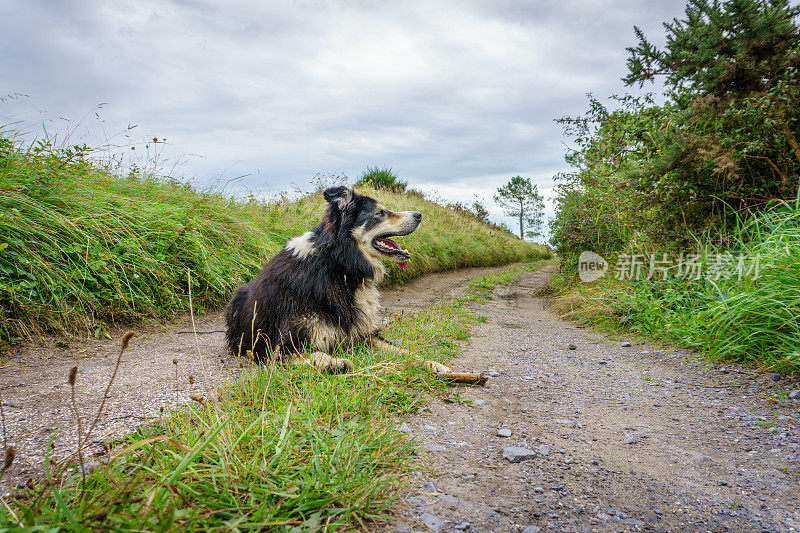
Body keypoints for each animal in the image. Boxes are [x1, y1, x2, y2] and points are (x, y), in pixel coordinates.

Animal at [225, 187, 450, 374]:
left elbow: (403, 351)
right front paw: (333, 362)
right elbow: (311, 355)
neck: (339, 265)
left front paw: (434, 364)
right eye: (379, 213)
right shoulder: (275, 346)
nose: (419, 215)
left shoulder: (363, 335)